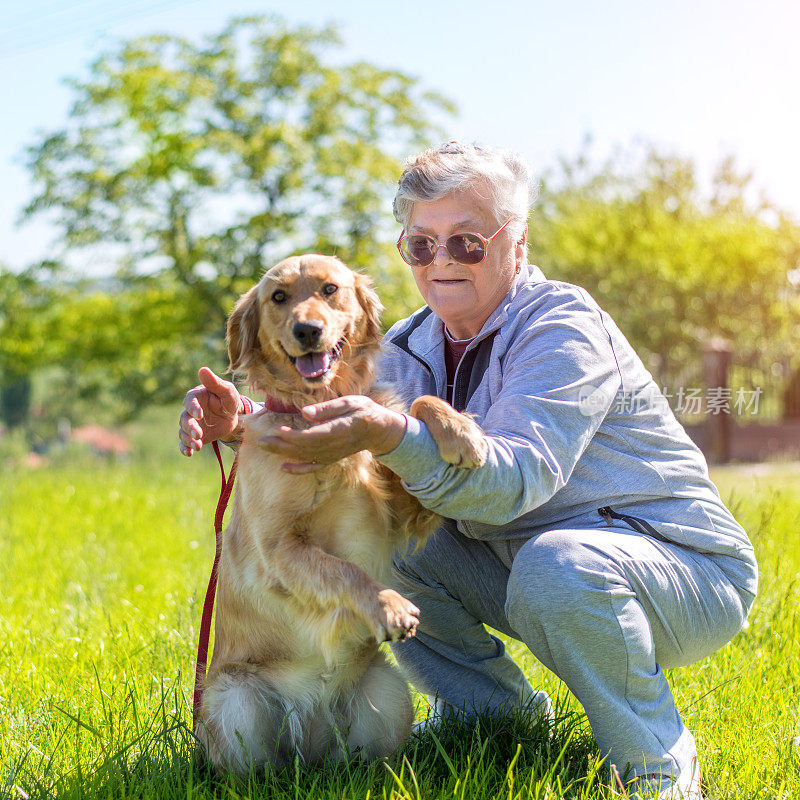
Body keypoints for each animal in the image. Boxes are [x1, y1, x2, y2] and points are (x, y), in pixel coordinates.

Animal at [197, 253, 490, 772]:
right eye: (278, 297)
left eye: (330, 289)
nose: (307, 329)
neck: (317, 405)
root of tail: (310, 748)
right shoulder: (279, 548)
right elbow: (343, 570)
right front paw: (388, 605)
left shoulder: (406, 510)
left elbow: (418, 401)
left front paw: (460, 431)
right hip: (235, 698)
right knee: (253, 769)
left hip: (389, 691)